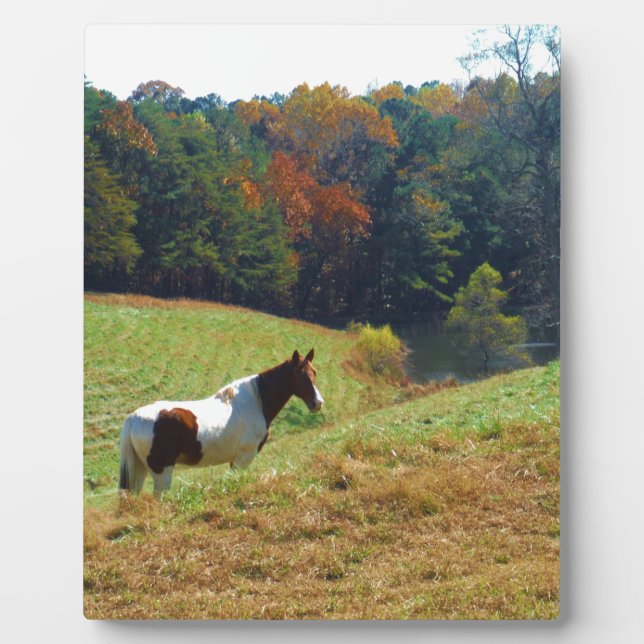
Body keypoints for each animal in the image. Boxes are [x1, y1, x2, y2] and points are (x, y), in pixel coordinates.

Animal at [118, 349, 324, 494]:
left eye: (314, 372)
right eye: (298, 375)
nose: (318, 403)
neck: (255, 401)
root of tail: (134, 418)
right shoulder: (243, 459)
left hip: (140, 469)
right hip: (162, 473)